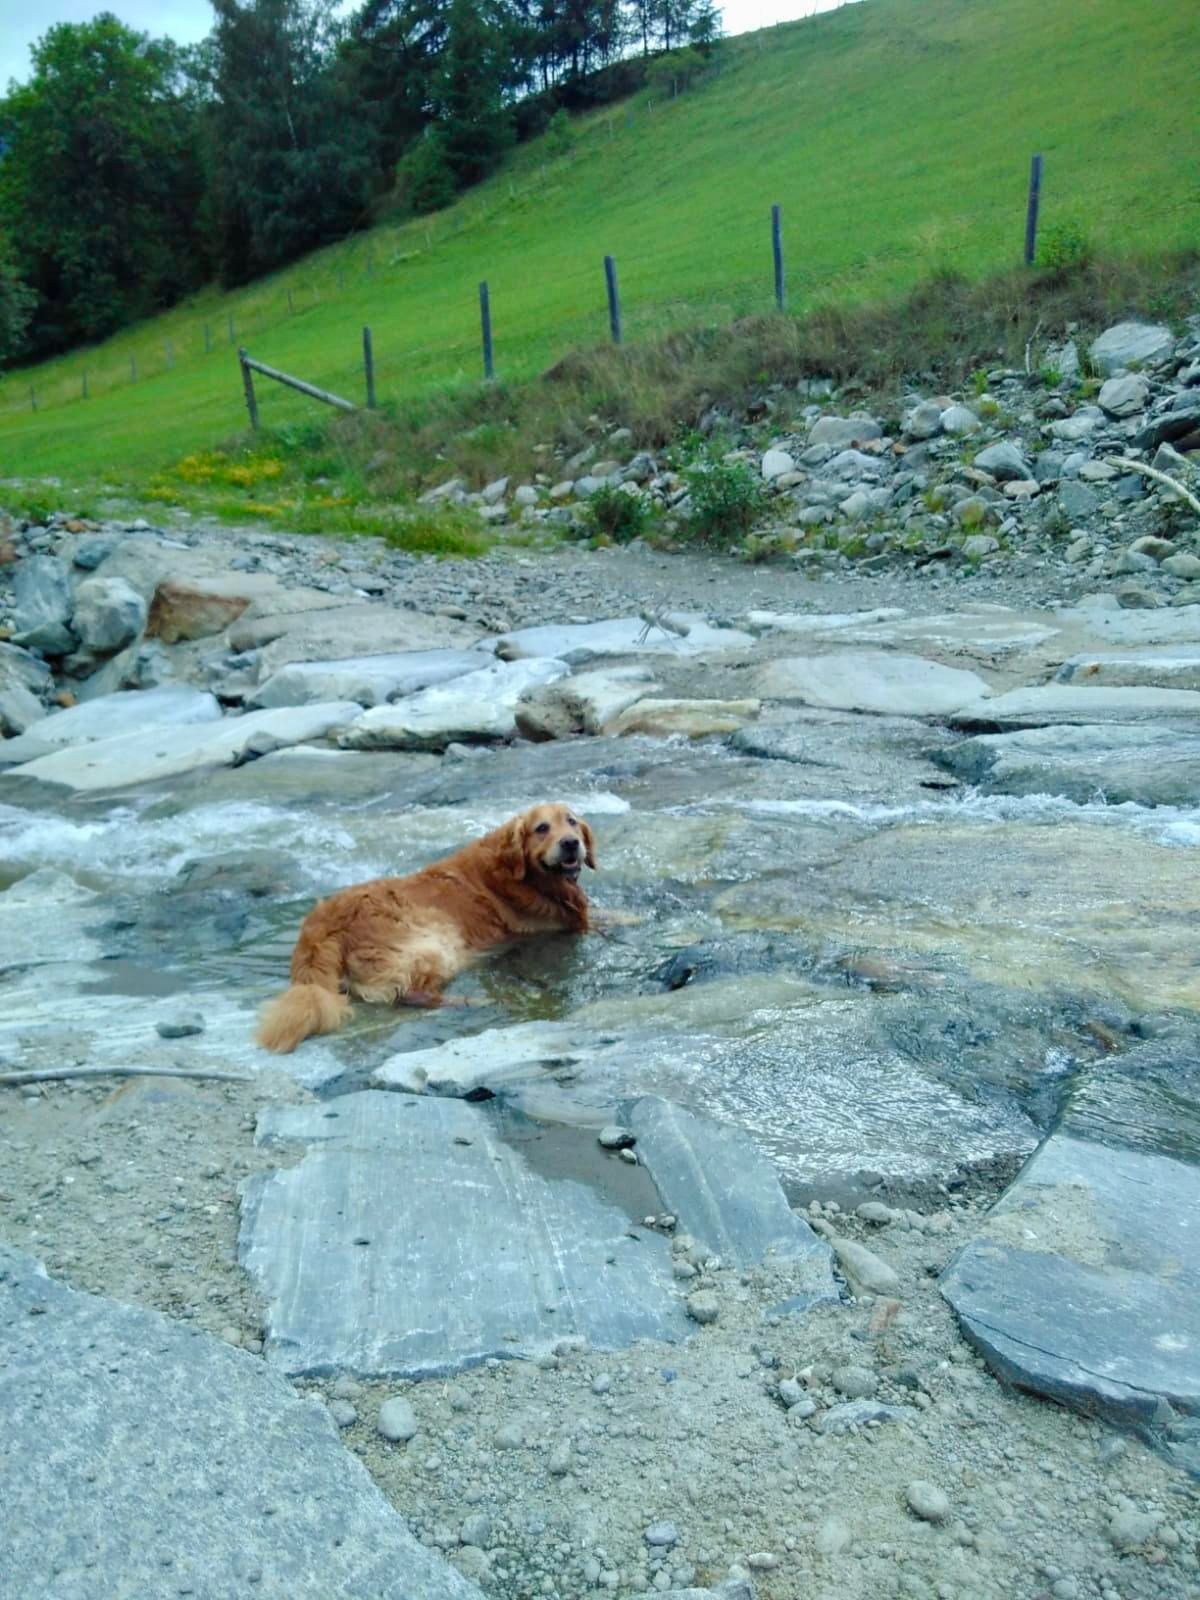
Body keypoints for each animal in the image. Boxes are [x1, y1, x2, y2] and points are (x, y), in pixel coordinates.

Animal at [256, 803, 596, 1053]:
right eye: (542, 828)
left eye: (572, 822)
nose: (571, 843)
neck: (526, 874)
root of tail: (321, 927)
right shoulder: (551, 924)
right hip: (435, 941)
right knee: (412, 994)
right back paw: (474, 1002)